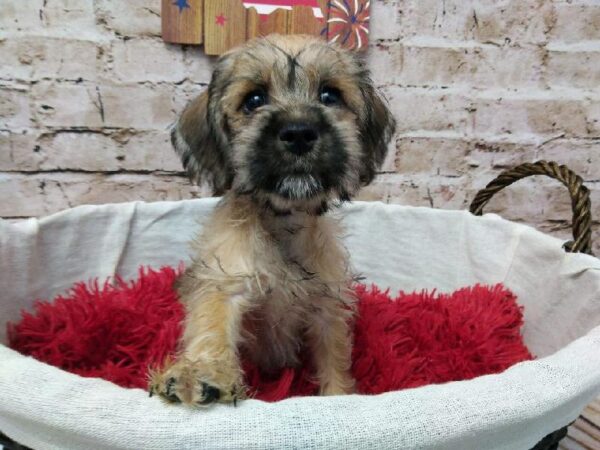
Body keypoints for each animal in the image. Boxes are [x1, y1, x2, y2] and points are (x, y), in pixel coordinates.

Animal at [149, 33, 394, 406]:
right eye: (254, 100)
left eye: (330, 95)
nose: (299, 133)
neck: (283, 222)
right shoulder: (226, 278)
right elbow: (212, 320)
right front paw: (201, 371)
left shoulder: (328, 309)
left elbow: (334, 358)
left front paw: (338, 396)